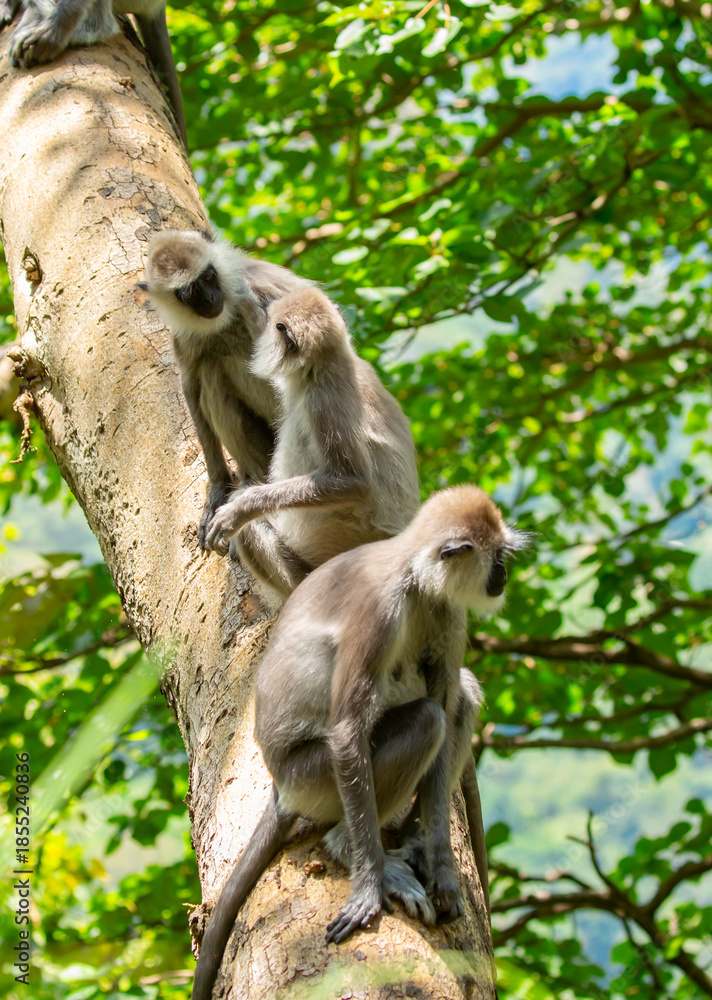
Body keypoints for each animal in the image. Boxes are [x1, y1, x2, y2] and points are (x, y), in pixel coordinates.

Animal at [137, 229, 311, 550]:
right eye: (189, 293)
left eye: (208, 277)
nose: (208, 298)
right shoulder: (184, 336)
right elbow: (191, 387)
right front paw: (218, 488)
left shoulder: (259, 279)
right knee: (211, 371)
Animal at [191, 485, 528, 1000]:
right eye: (497, 559)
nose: (503, 577)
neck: (414, 578)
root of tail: (280, 789)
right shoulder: (379, 607)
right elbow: (350, 729)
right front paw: (369, 886)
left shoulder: (448, 611)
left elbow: (447, 707)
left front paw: (444, 872)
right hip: (311, 775)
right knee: (425, 720)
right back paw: (350, 848)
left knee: (457, 699)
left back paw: (409, 836)